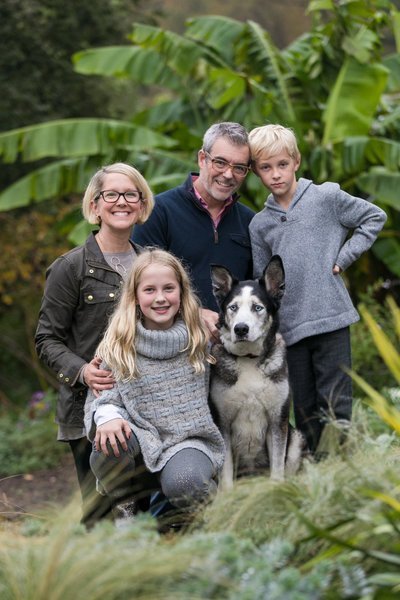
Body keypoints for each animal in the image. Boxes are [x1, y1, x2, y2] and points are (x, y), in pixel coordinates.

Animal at [209, 254, 304, 488]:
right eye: (233, 307)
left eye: (258, 308)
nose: (241, 329)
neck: (248, 359)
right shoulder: (221, 423)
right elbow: (226, 474)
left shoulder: (277, 420)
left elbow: (277, 469)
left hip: (297, 439)